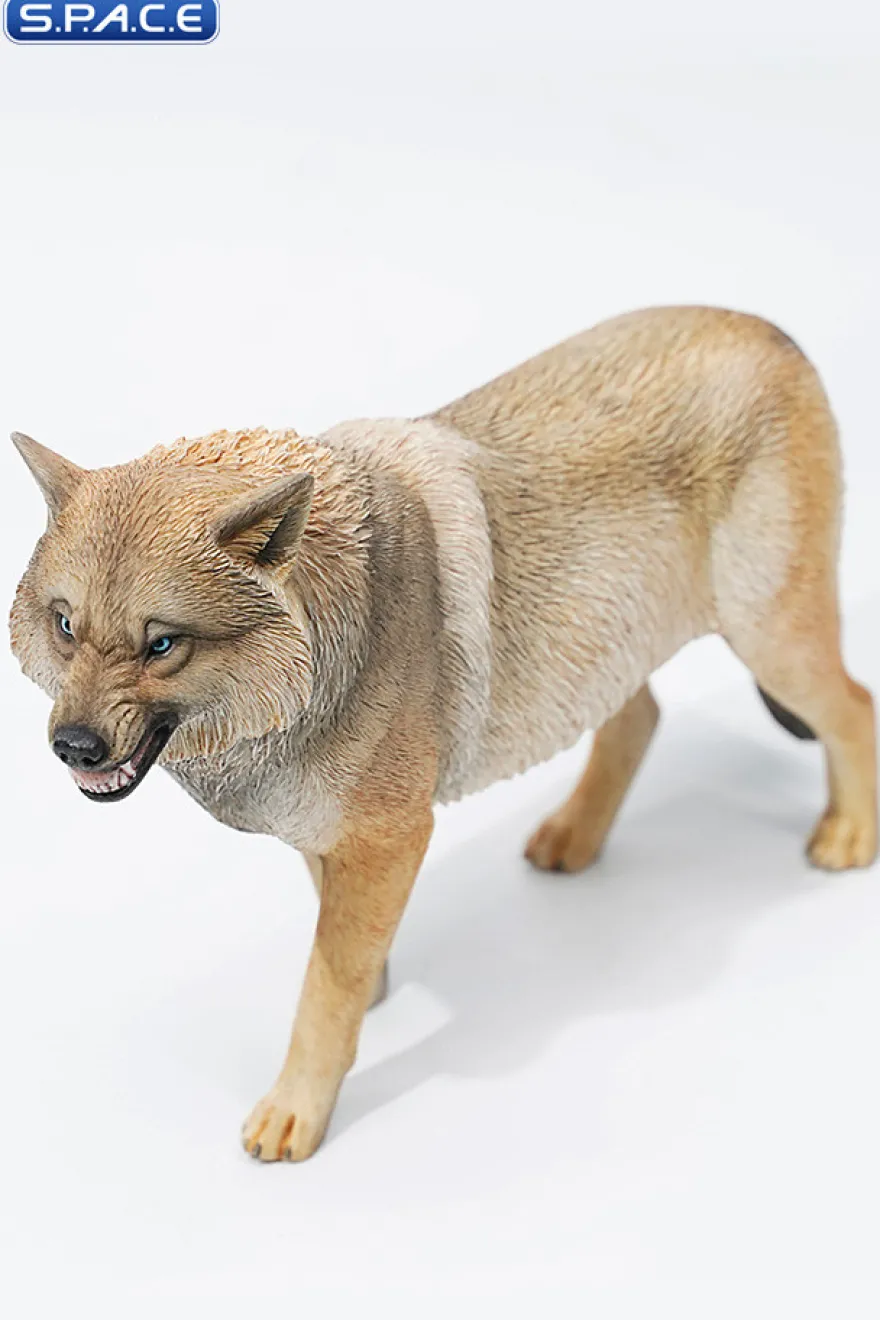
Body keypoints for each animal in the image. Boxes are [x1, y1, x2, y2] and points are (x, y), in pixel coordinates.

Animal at [10, 306, 877, 1162]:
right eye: (65, 626)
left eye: (162, 644)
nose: (74, 747)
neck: (330, 639)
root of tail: (770, 330)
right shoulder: (330, 832)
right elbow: (340, 942)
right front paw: (378, 988)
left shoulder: (392, 836)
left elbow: (325, 986)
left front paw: (299, 1108)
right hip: (603, 648)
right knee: (643, 718)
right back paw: (575, 836)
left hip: (770, 639)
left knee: (854, 705)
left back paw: (847, 833)